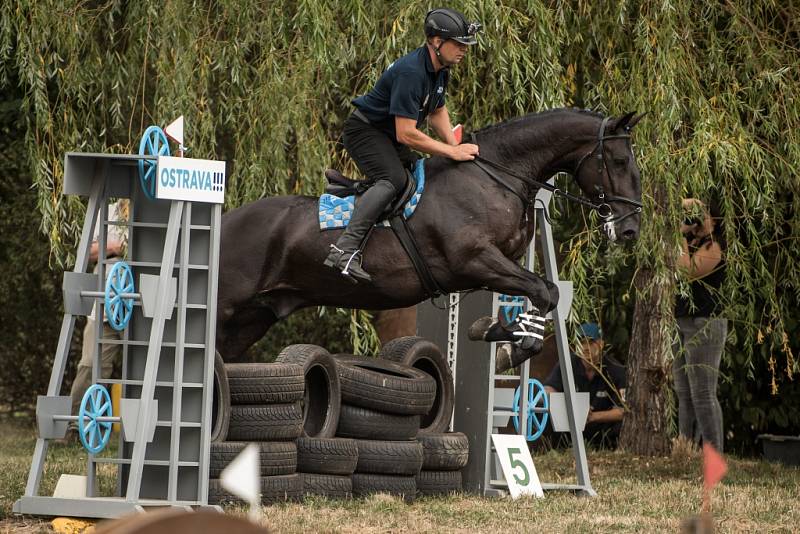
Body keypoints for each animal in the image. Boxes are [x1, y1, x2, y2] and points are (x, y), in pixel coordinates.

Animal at [217, 108, 644, 360]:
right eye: (619, 161)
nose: (629, 229)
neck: (496, 176)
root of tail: (225, 221)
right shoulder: (474, 260)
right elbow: (544, 290)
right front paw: (514, 346)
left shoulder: (493, 266)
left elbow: (543, 292)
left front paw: (498, 331)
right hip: (228, 304)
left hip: (254, 317)